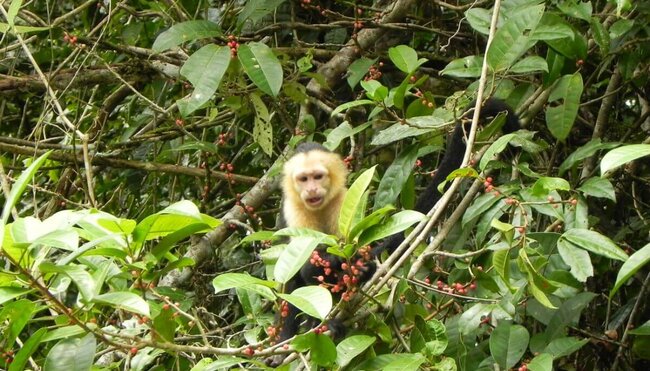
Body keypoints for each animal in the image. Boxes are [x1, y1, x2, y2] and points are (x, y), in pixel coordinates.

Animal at [266, 99, 520, 366]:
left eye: (317, 176)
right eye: (303, 179)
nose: (312, 190)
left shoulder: (344, 201)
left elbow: (351, 249)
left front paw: (357, 266)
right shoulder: (294, 210)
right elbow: (307, 267)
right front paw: (338, 267)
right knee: (294, 283)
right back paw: (299, 333)